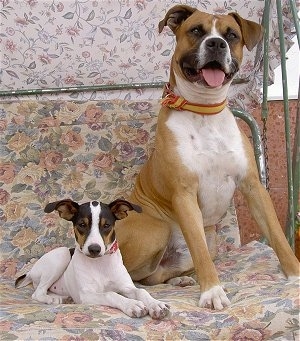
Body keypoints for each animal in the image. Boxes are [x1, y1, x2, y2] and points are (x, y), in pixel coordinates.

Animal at [15, 199, 170, 318]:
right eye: (82, 225)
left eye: (106, 225)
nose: (94, 249)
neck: (100, 264)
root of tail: (30, 272)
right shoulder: (87, 295)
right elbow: (110, 294)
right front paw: (132, 304)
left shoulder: (127, 287)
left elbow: (141, 291)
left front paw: (155, 304)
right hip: (61, 255)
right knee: (38, 293)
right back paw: (53, 299)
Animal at [115, 4, 300, 308]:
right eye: (196, 30)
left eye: (232, 35)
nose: (216, 43)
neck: (204, 111)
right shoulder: (184, 194)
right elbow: (199, 252)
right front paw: (212, 291)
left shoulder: (253, 187)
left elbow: (277, 236)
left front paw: (294, 275)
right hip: (156, 230)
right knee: (125, 274)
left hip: (204, 242)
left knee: (153, 275)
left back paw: (178, 280)